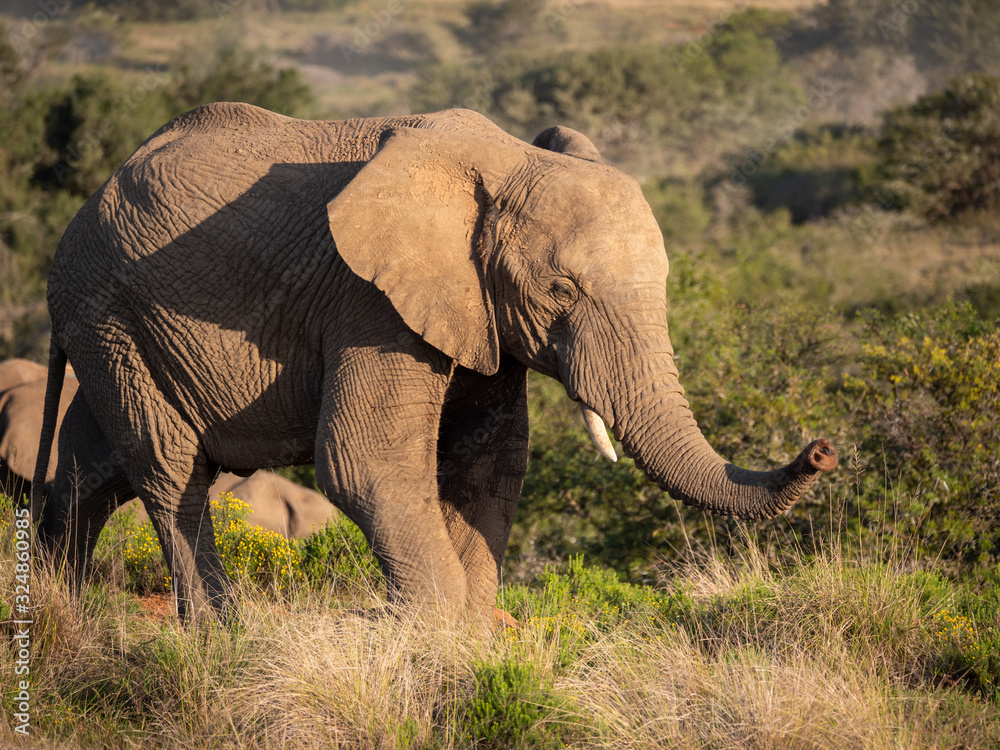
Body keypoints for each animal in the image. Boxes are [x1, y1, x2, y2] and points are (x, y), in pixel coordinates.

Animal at [33, 103, 836, 624]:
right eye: (560, 290)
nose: (823, 450)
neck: (506, 161)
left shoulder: (476, 308)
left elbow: (490, 463)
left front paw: (474, 642)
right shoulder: (368, 301)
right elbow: (365, 462)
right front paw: (437, 642)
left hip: (113, 329)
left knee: (91, 468)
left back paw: (53, 617)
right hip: (108, 314)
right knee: (170, 471)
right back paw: (216, 635)